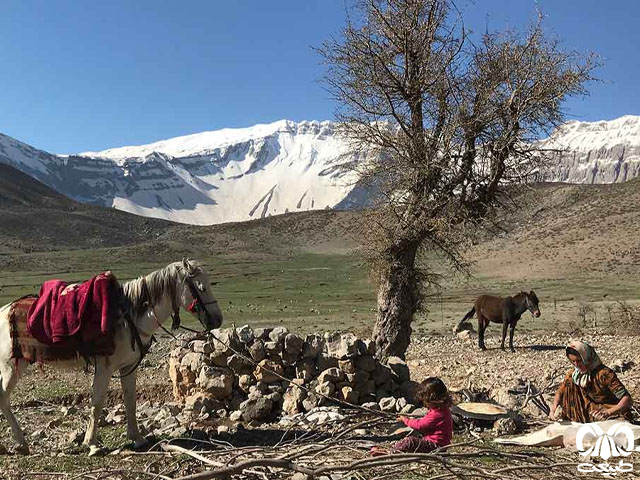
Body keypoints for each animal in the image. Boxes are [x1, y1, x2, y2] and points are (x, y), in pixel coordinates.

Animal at [0, 258, 222, 454]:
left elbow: (130, 400)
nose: (217, 320)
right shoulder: (104, 368)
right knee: (3, 397)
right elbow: (97, 403)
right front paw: (92, 444)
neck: (128, 317)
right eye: (201, 287)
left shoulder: (129, 367)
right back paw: (21, 443)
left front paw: (137, 438)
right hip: (11, 366)